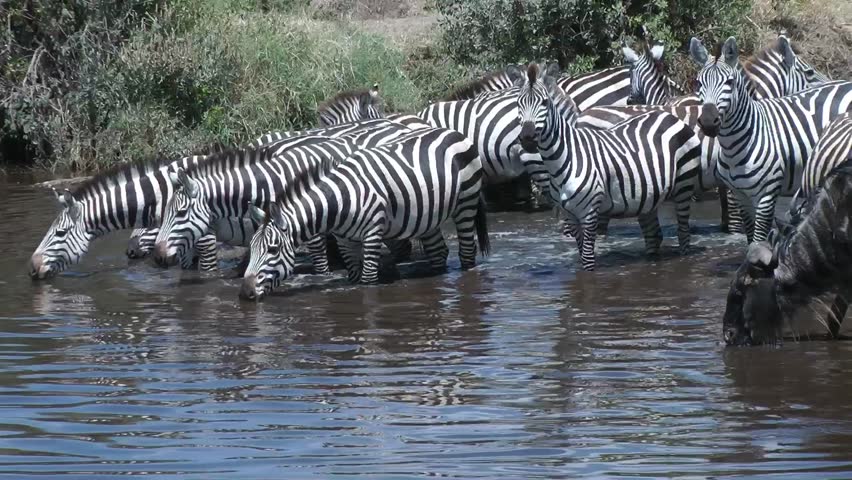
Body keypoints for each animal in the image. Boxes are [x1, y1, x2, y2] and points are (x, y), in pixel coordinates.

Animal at [239, 127, 489, 300]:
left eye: (273, 249)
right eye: (251, 247)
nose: (245, 293)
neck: (339, 201)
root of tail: (453, 131)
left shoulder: (372, 234)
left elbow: (368, 281)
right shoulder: (344, 240)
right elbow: (354, 276)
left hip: (466, 202)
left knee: (467, 252)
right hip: (428, 216)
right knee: (438, 252)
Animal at [515, 62, 701, 271]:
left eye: (545, 103)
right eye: (518, 104)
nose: (527, 138)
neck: (566, 158)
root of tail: (670, 116)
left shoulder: (589, 211)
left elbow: (588, 259)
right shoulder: (570, 214)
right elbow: (582, 255)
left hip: (684, 185)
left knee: (683, 233)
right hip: (649, 195)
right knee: (654, 235)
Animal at [689, 35, 852, 243]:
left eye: (730, 82)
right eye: (698, 83)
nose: (709, 122)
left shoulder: (765, 195)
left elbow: (755, 238)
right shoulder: (739, 195)